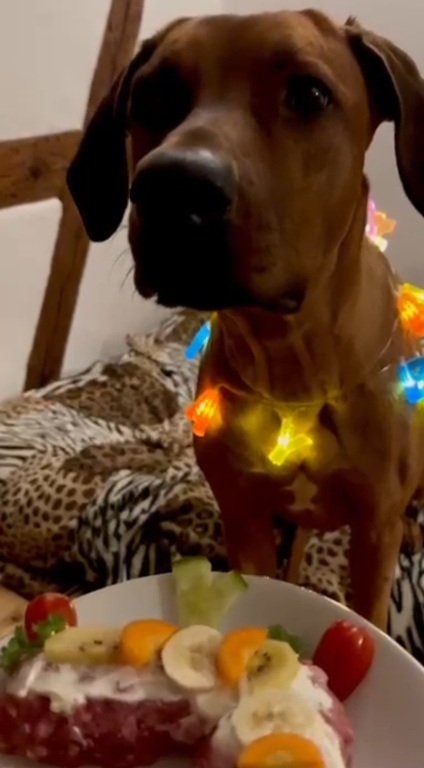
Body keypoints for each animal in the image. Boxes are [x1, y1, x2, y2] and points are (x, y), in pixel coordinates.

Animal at [67, 11, 424, 631]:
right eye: (153, 94)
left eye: (309, 93)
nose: (173, 185)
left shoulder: (374, 530)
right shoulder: (244, 517)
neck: (294, 359)